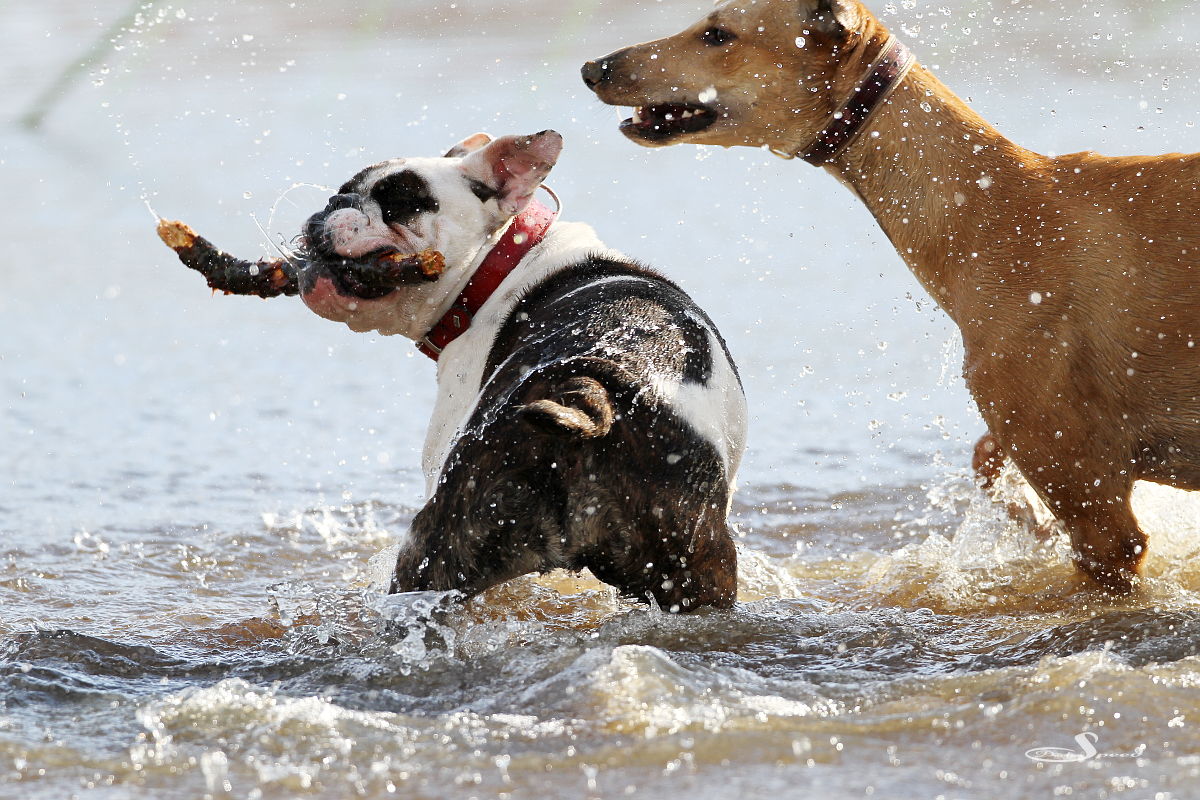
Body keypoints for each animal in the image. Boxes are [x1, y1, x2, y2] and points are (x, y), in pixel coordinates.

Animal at [298, 130, 746, 611]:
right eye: (345, 188)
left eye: (400, 202)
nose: (335, 201)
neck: (501, 265)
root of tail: (590, 392)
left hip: (434, 542)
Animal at [582, 0, 1200, 593]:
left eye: (718, 33)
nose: (592, 68)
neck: (990, 204)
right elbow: (985, 458)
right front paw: (1028, 518)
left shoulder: (1099, 519)